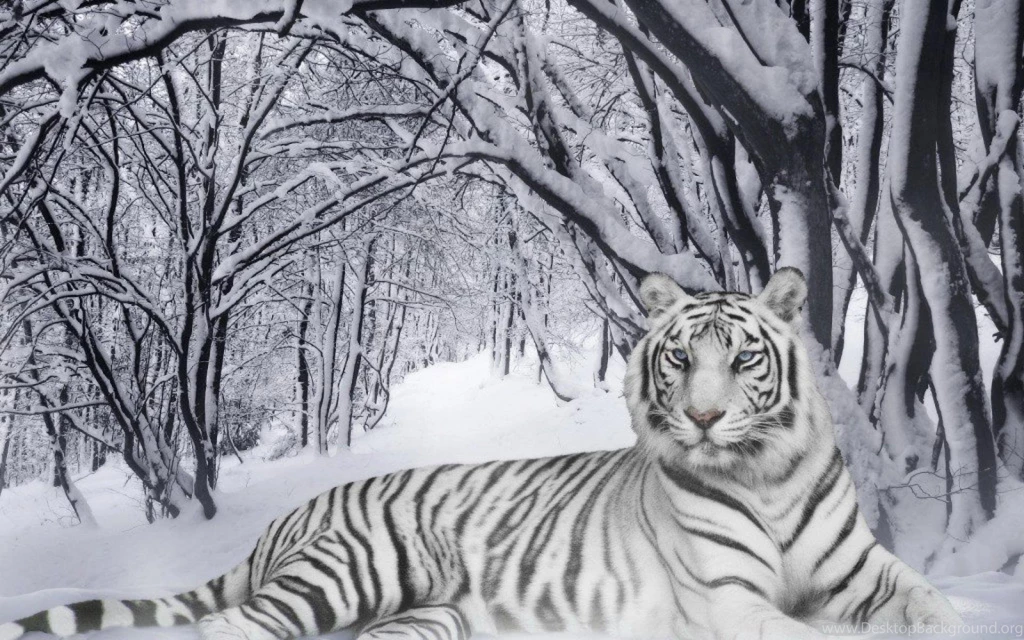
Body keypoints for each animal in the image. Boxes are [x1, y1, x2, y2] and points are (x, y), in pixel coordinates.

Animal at [0, 268, 963, 640]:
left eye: (744, 359)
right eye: (681, 359)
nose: (699, 418)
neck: (766, 475)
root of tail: (288, 517)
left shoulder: (863, 570)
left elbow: (934, 607)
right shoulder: (728, 601)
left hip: (425, 619)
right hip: (350, 570)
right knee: (230, 628)